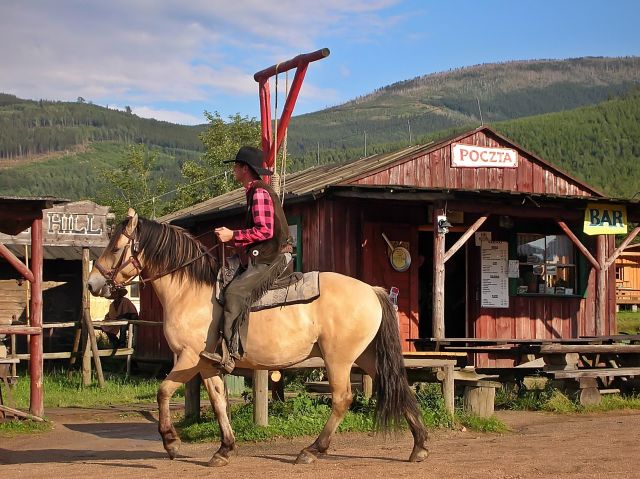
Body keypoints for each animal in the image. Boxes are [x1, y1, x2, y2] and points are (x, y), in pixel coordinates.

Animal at [87, 208, 430, 466]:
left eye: (115, 248)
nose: (92, 284)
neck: (189, 293)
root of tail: (372, 290)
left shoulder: (188, 358)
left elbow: (162, 392)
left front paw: (171, 443)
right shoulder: (207, 364)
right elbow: (218, 401)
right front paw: (224, 449)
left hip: (339, 359)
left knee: (343, 398)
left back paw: (311, 451)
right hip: (366, 356)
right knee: (395, 385)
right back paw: (420, 445)